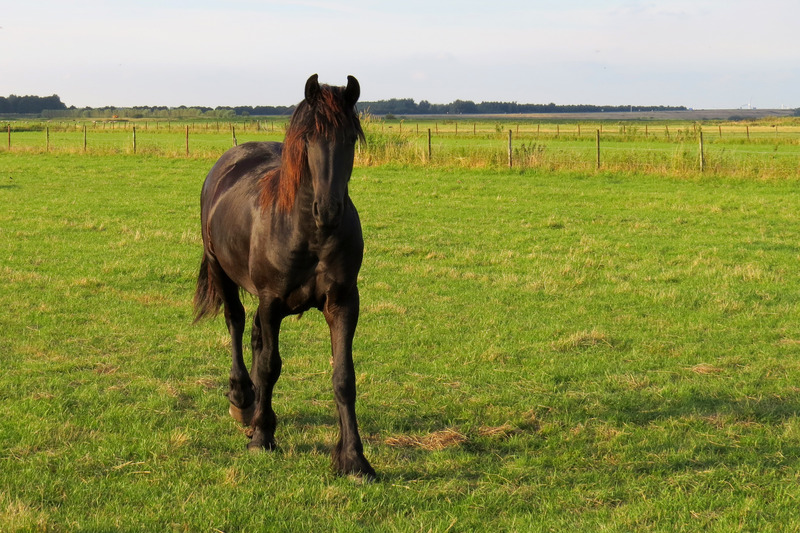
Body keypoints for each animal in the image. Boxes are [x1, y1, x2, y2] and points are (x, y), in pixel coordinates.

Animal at [193, 74, 375, 479]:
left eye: (350, 139)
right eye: (308, 139)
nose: (329, 210)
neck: (309, 232)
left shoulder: (343, 302)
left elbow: (344, 377)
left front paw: (353, 459)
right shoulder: (272, 301)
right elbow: (270, 366)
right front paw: (262, 437)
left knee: (256, 339)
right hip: (221, 271)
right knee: (236, 324)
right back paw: (243, 400)